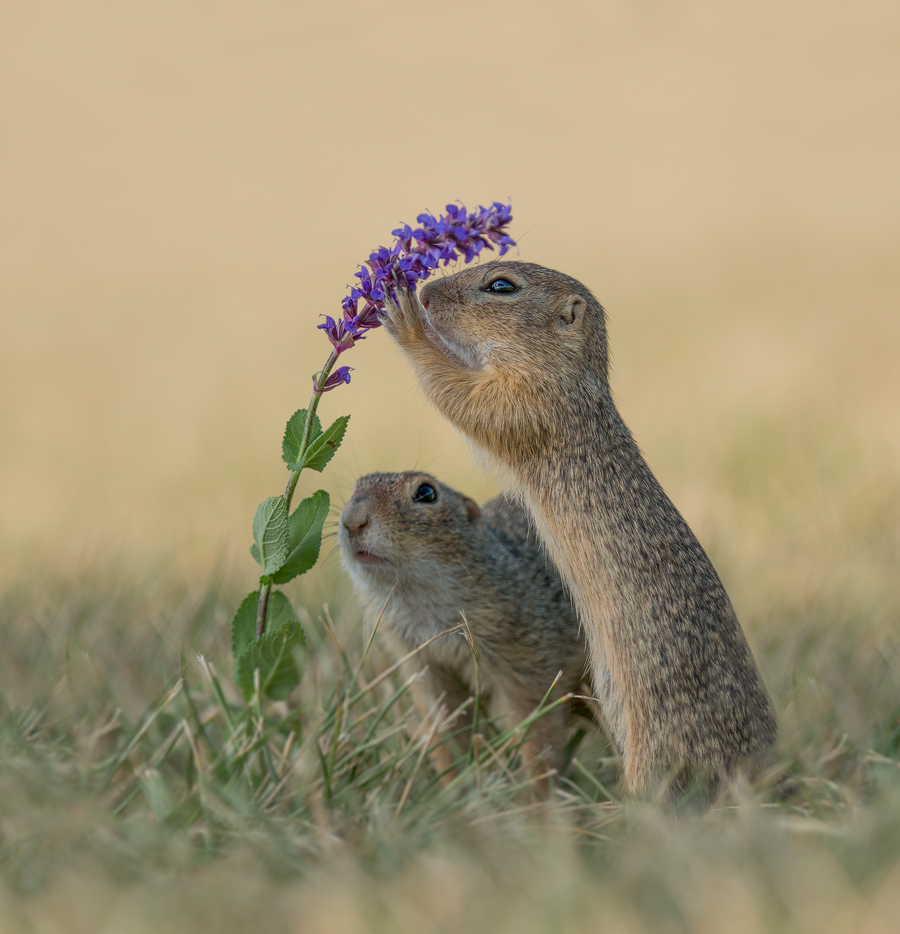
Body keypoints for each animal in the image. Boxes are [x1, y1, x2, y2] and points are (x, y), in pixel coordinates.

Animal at [338, 468, 592, 784]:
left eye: (426, 493)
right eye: (354, 489)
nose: (352, 520)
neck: (420, 604)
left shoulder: (527, 664)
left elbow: (537, 730)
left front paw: (536, 791)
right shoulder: (425, 668)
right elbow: (447, 728)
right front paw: (453, 786)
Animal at [384, 264, 776, 796]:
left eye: (501, 285)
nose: (424, 292)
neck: (572, 380)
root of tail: (760, 767)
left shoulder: (529, 403)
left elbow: (467, 398)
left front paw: (408, 323)